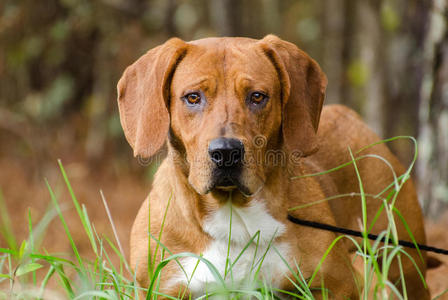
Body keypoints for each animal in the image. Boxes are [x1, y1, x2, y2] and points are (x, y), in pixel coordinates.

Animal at [117, 34, 428, 298]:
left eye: (257, 96)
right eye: (193, 97)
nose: (226, 152)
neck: (234, 215)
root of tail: (351, 117)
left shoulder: (335, 285)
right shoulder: (161, 288)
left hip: (403, 262)